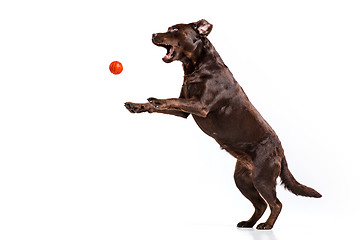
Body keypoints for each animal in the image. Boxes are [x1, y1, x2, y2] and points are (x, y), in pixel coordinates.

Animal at [125, 19, 322, 230]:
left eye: (175, 29)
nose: (153, 34)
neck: (197, 66)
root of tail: (280, 150)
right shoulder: (185, 111)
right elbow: (167, 104)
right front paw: (137, 106)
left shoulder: (200, 106)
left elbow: (169, 100)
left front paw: (156, 100)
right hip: (242, 180)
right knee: (260, 205)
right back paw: (248, 223)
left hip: (263, 178)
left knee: (276, 204)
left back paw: (267, 225)